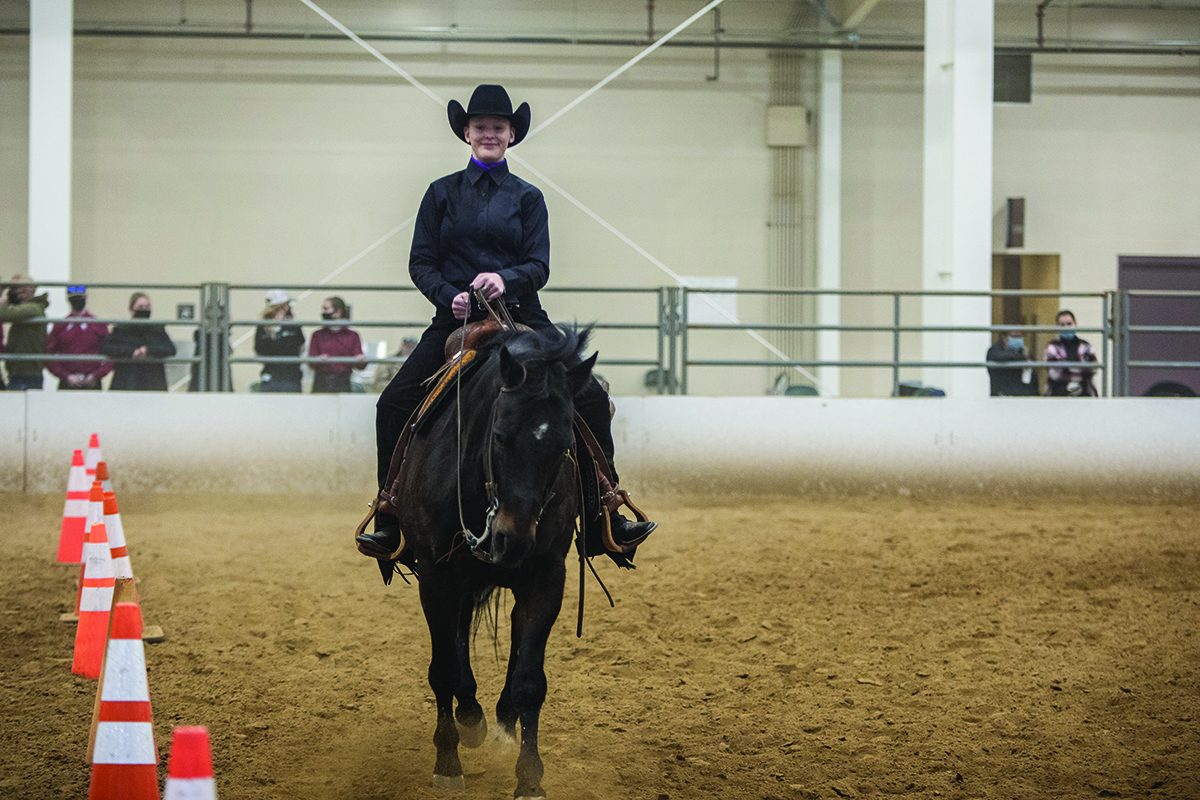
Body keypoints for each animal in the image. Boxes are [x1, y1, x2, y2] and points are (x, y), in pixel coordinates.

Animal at [396, 321, 597, 796]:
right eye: (500, 435)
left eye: (564, 444)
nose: (513, 539)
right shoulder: (436, 578)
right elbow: (443, 671)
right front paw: (448, 763)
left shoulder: (547, 576)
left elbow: (530, 681)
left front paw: (529, 778)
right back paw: (471, 719)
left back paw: (500, 724)